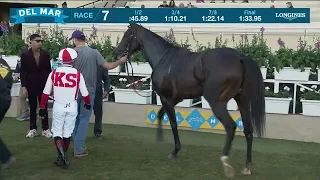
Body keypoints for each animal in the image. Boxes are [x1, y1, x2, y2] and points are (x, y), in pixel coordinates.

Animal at [114, 23, 264, 178]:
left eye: (127, 35)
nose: (116, 53)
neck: (164, 59)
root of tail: (240, 58)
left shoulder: (166, 99)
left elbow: (173, 123)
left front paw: (175, 151)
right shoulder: (174, 99)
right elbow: (160, 114)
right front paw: (160, 140)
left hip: (217, 103)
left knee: (231, 126)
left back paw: (226, 162)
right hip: (243, 102)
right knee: (248, 130)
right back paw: (247, 166)